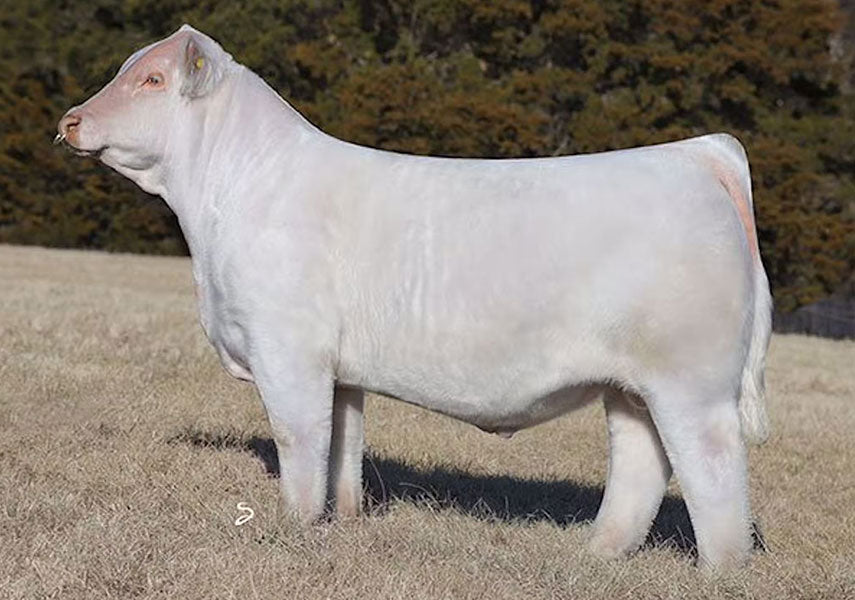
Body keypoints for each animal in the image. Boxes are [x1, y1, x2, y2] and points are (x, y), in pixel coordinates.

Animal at [57, 25, 772, 570]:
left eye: (151, 80)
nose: (70, 120)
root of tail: (695, 153)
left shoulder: (287, 350)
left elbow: (298, 437)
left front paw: (292, 529)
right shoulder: (340, 371)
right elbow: (343, 445)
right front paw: (339, 525)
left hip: (690, 380)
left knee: (712, 464)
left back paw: (717, 570)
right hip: (631, 384)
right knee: (641, 462)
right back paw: (594, 555)